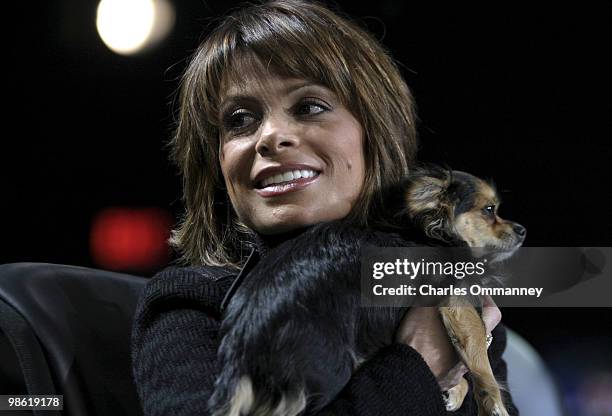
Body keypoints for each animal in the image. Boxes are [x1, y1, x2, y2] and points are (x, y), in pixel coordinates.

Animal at [209, 167, 524, 416]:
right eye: (489, 210)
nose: (522, 230)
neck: (433, 232)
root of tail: (241, 357)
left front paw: (454, 393)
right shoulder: (456, 300)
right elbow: (479, 355)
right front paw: (493, 404)